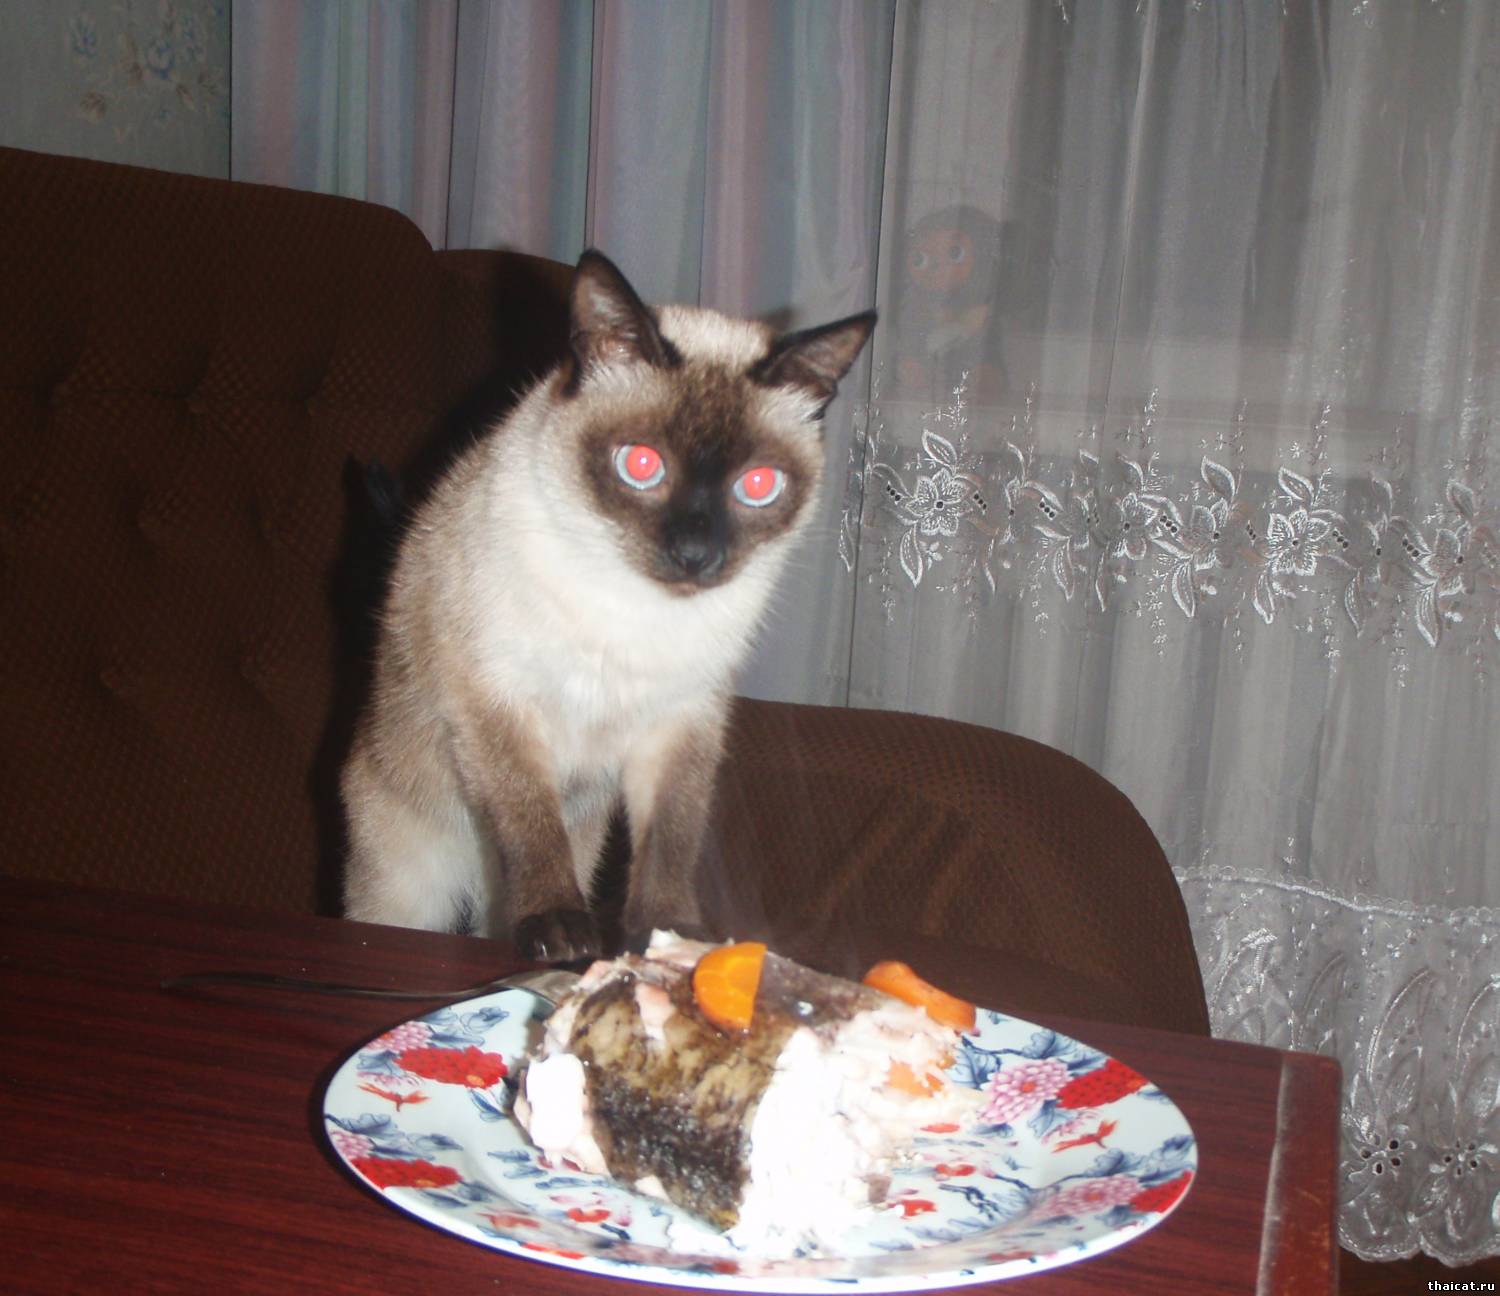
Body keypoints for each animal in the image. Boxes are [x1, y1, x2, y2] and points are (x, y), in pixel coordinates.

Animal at [341, 249, 874, 963]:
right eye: (641, 465)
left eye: (757, 485)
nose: (695, 555)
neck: (637, 608)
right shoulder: (502, 707)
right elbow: (531, 827)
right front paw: (562, 934)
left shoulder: (679, 726)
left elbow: (670, 841)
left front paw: (672, 939)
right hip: (408, 882)